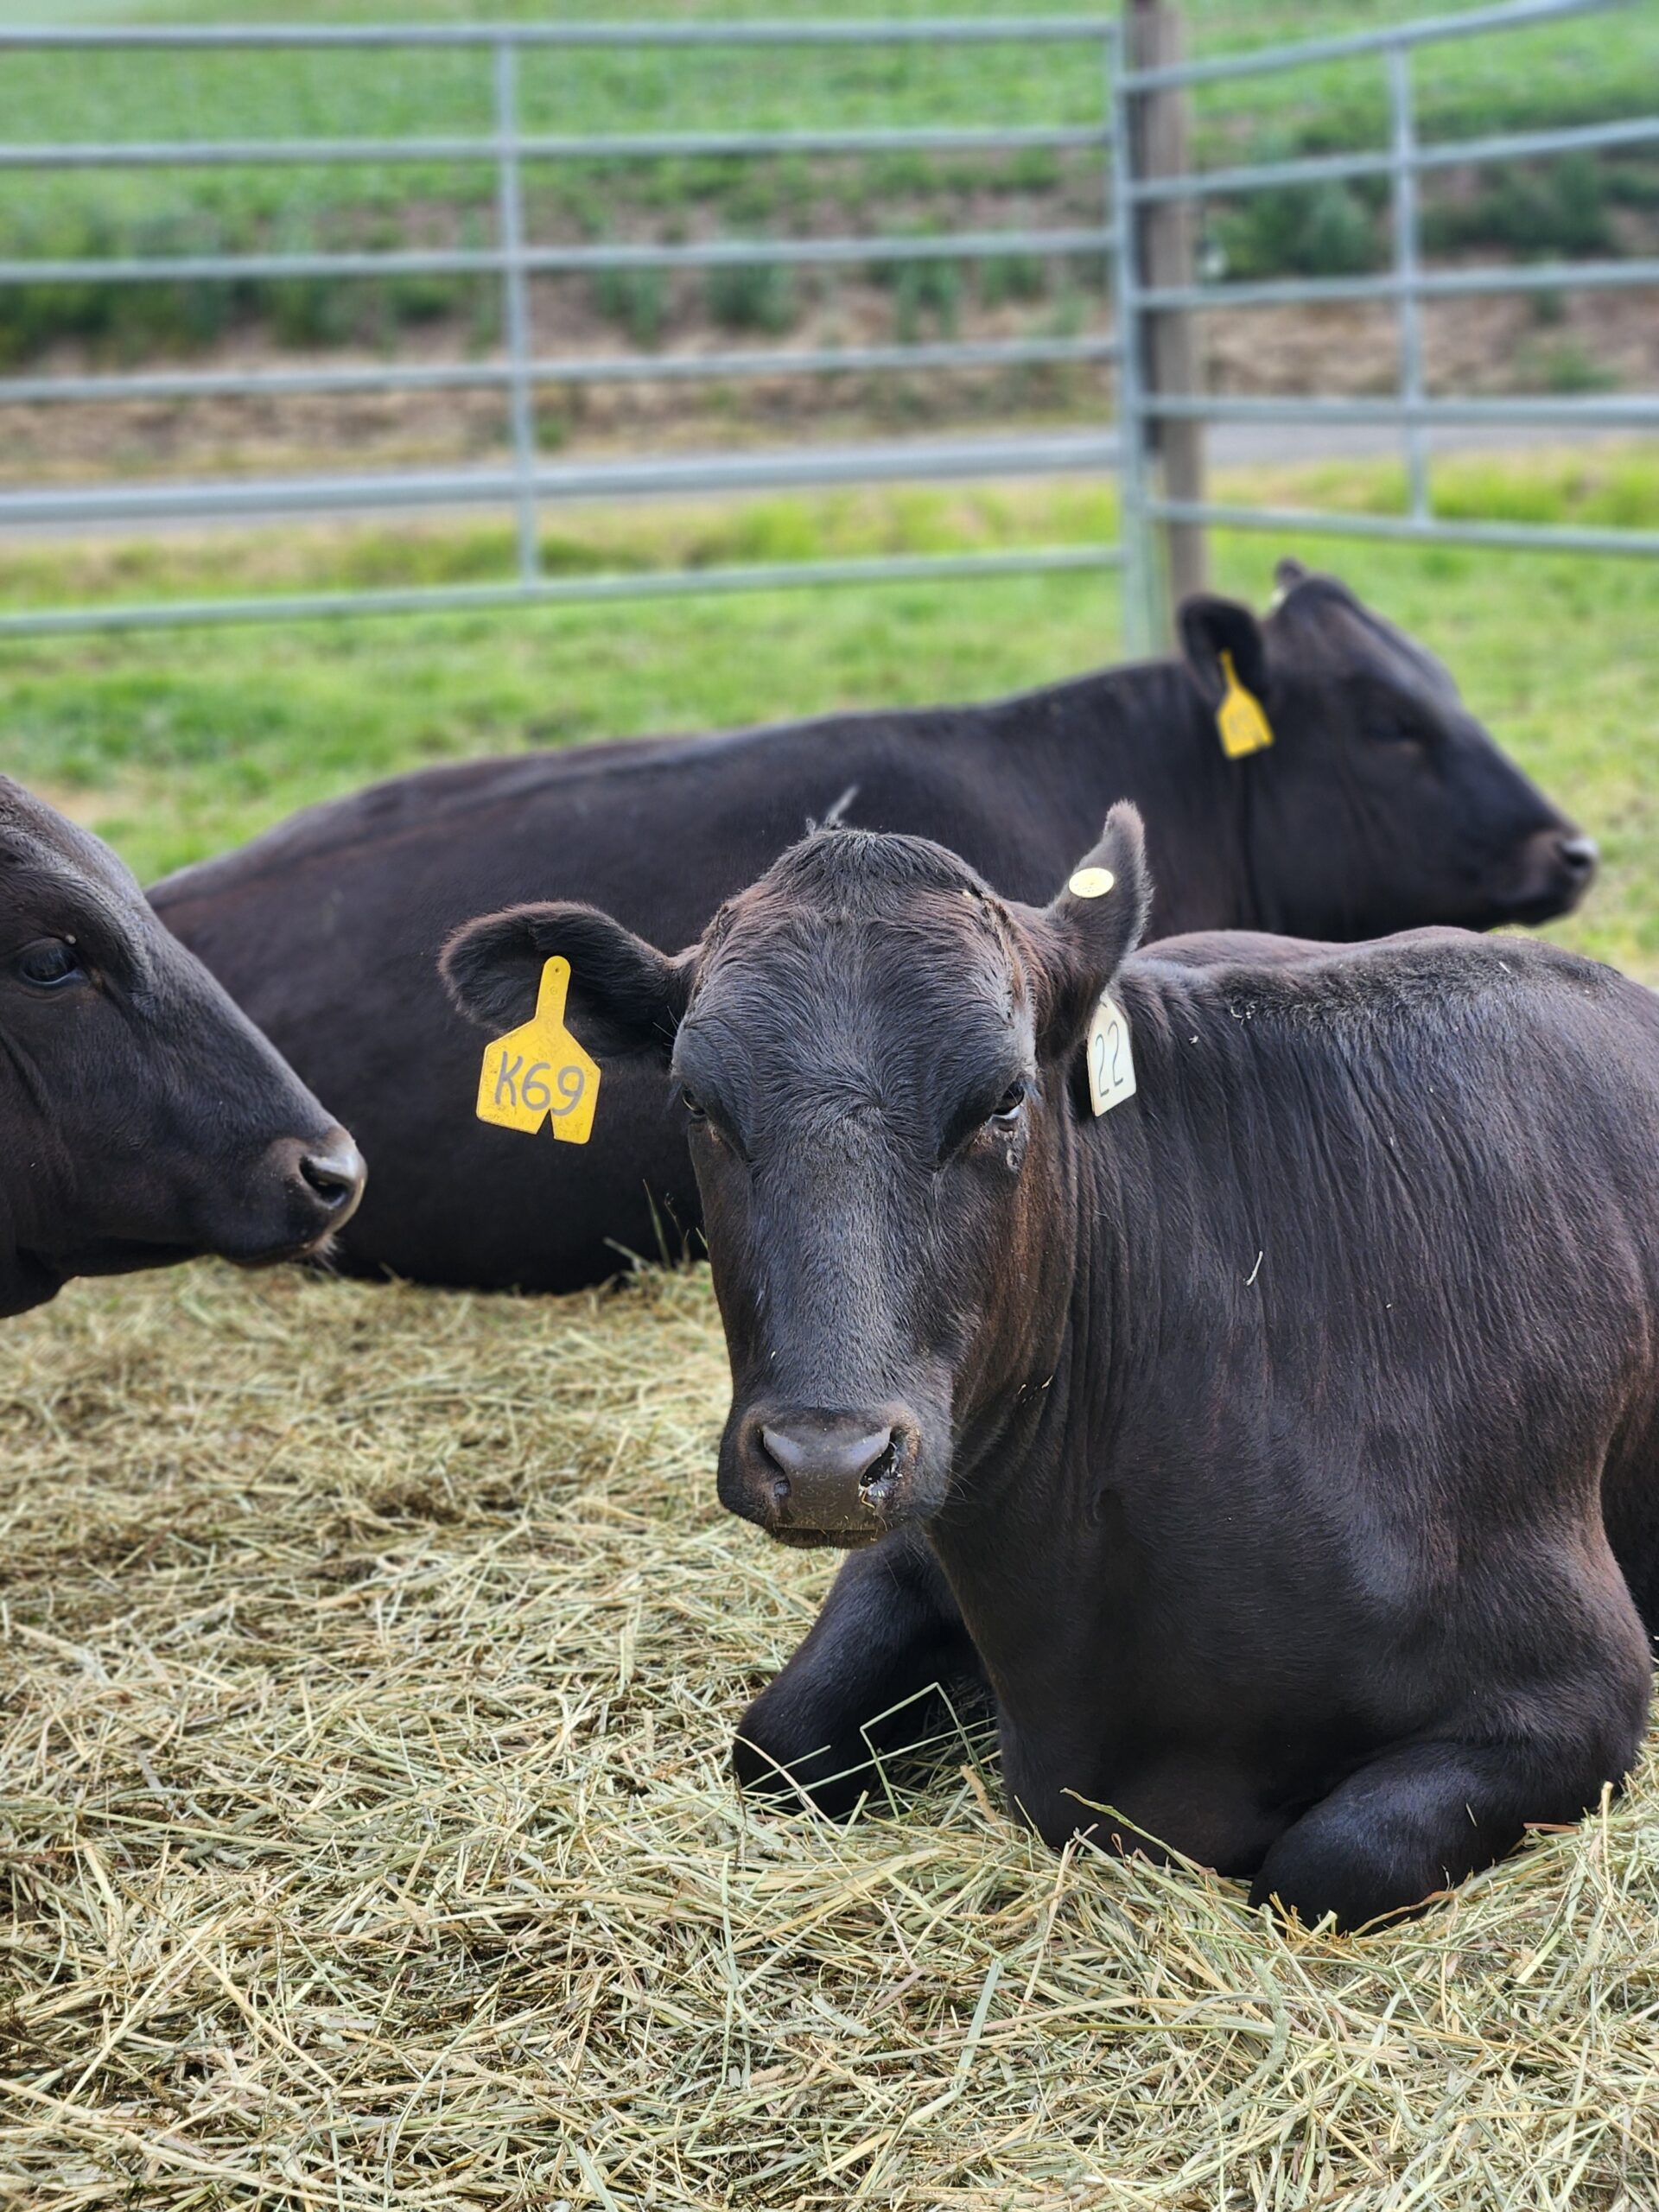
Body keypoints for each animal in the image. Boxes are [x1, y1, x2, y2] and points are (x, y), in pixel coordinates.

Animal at [444, 804, 1659, 1929]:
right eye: (696, 1100)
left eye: (1004, 1097)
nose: (827, 1462)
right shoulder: (925, 1521)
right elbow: (776, 1740)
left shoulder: (1582, 1686)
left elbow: (1326, 1862)